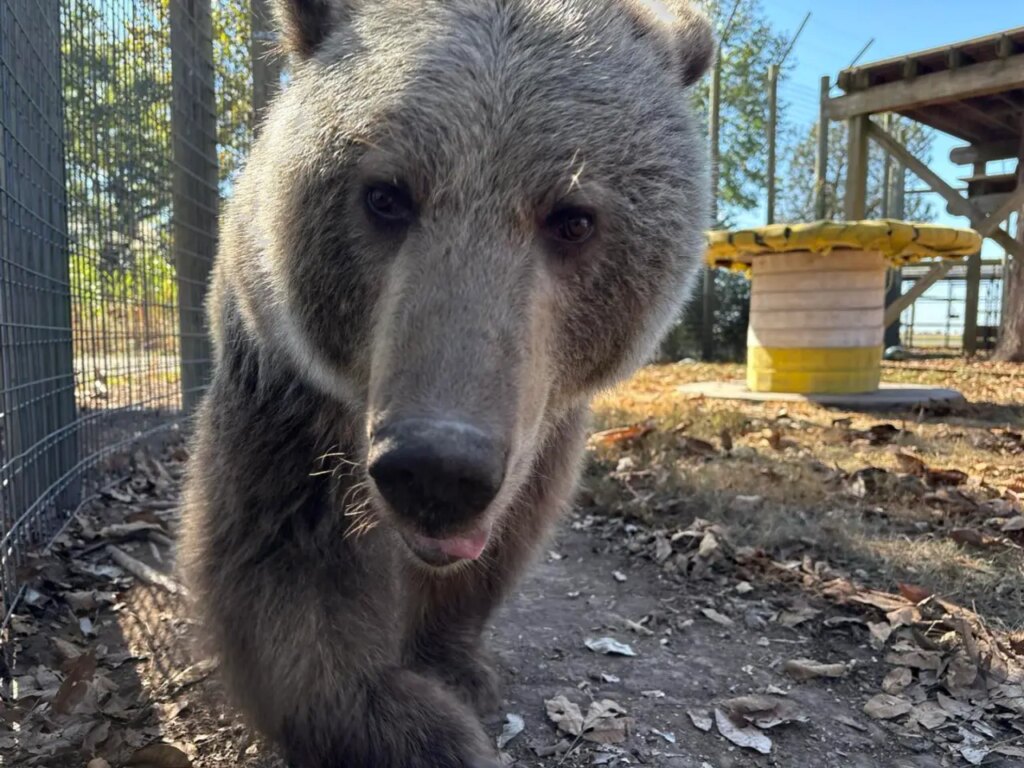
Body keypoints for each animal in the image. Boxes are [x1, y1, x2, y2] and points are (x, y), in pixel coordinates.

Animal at [179, 1, 714, 765]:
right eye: (384, 195)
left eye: (573, 218)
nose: (438, 469)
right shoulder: (281, 383)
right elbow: (281, 556)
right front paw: (415, 727)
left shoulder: (544, 422)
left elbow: (508, 535)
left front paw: (454, 665)